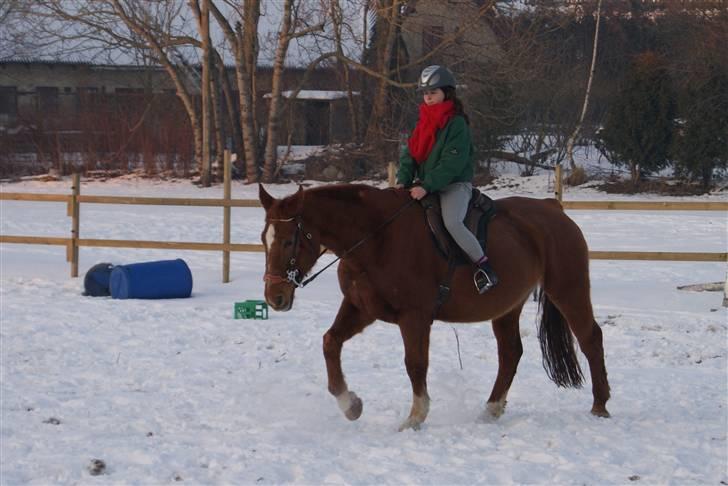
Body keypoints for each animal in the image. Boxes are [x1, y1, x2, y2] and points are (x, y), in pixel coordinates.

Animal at [258, 183, 612, 430]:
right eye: (264, 239)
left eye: (289, 241)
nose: (275, 297)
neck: (377, 238)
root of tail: (553, 209)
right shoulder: (361, 308)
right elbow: (330, 342)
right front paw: (351, 405)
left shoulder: (414, 317)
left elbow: (415, 363)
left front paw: (416, 416)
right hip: (507, 306)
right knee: (511, 352)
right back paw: (491, 409)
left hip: (568, 290)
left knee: (590, 339)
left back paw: (600, 405)